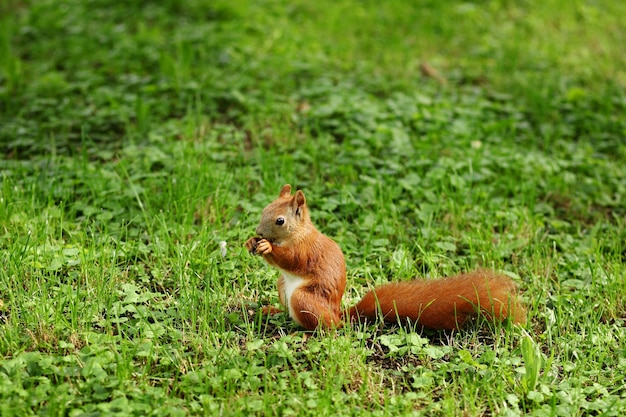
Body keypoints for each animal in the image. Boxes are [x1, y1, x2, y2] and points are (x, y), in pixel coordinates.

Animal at [241, 184, 524, 330]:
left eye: (280, 220)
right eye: (265, 209)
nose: (258, 232)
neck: (298, 234)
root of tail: (339, 314)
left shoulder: (306, 251)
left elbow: (291, 260)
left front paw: (267, 248)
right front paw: (250, 242)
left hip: (305, 300)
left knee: (328, 330)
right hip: (283, 287)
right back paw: (272, 311)